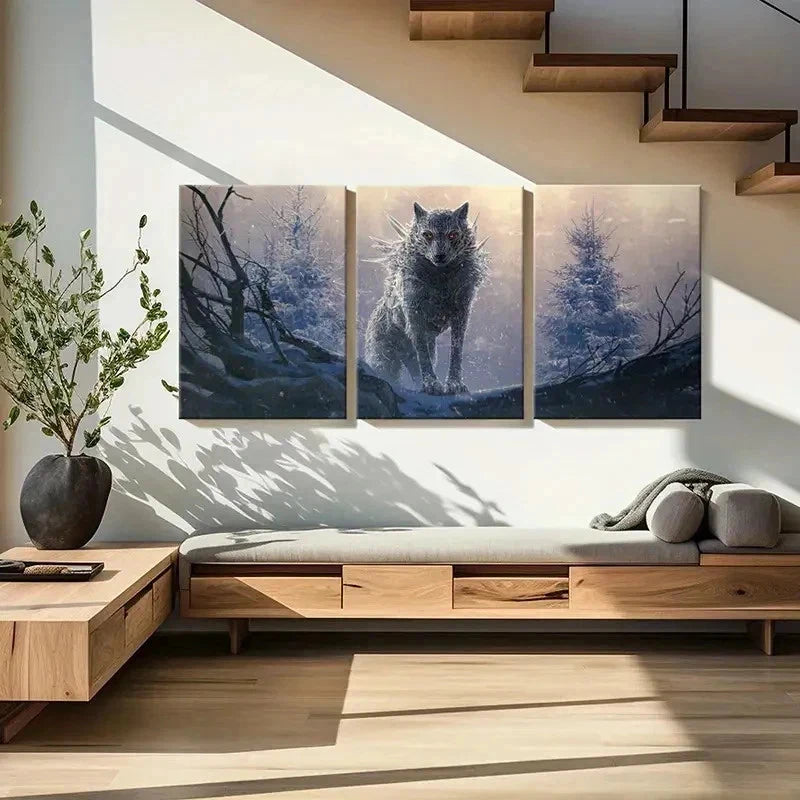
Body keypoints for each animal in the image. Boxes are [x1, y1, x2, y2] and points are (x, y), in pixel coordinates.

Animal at [365, 201, 487, 395]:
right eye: (428, 234)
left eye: (452, 234)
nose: (439, 256)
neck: (440, 278)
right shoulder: (415, 318)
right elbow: (423, 356)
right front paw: (431, 384)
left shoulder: (461, 314)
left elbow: (456, 350)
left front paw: (454, 384)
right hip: (385, 360)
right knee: (392, 371)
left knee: (416, 369)